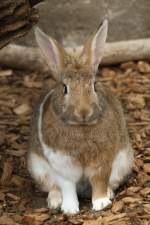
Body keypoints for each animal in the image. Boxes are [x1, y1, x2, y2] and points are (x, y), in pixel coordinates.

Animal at [27, 18, 134, 214]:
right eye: (64, 88)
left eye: (94, 85)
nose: (83, 111)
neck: (82, 127)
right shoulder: (63, 165)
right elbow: (67, 186)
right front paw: (70, 209)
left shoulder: (102, 161)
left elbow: (99, 180)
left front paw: (101, 203)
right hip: (39, 169)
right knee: (54, 186)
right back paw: (55, 200)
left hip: (123, 162)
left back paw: (109, 193)